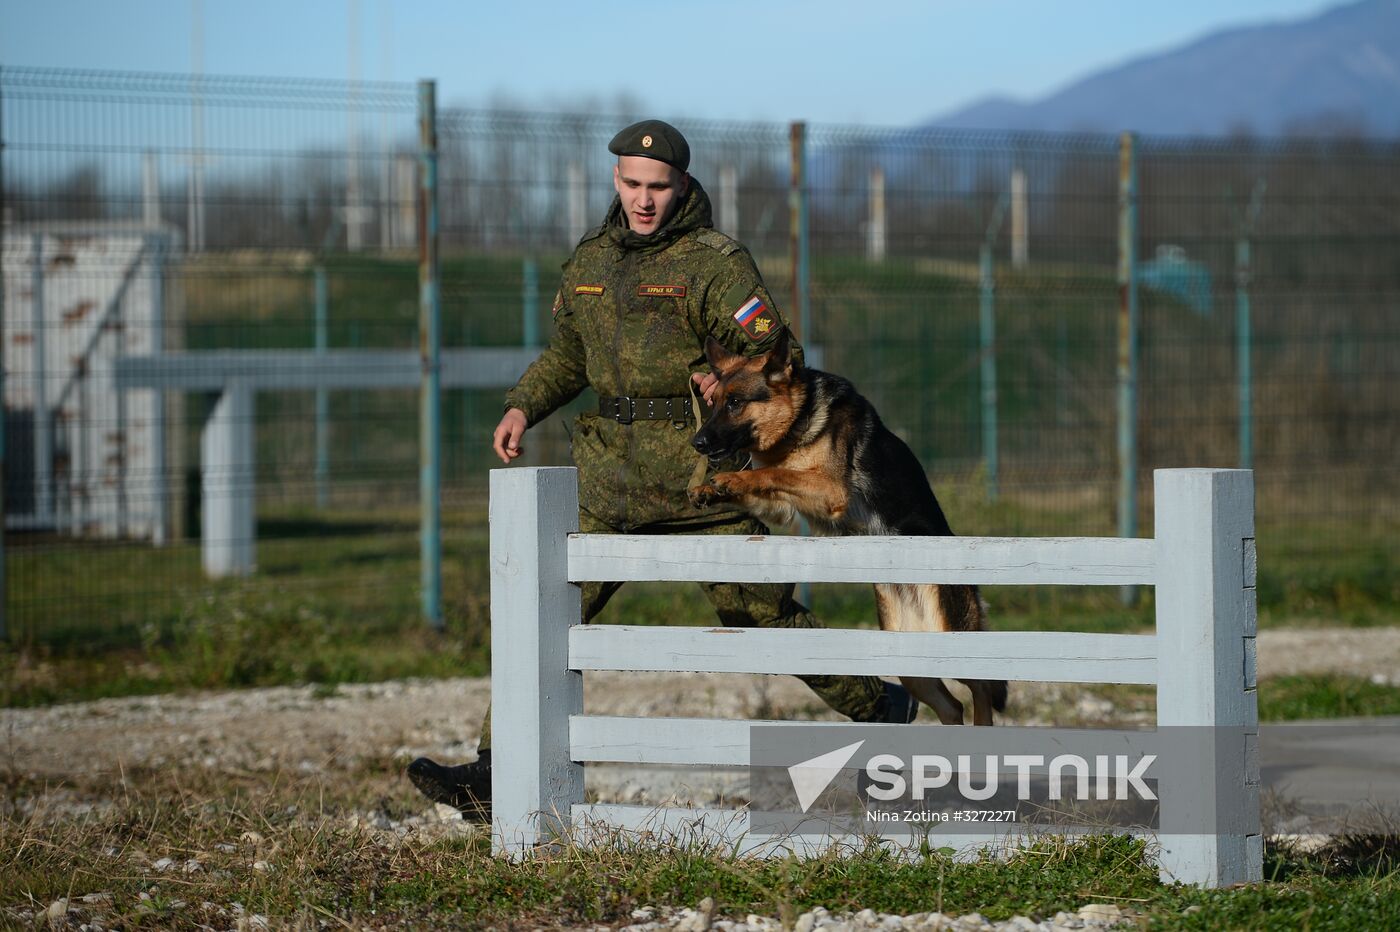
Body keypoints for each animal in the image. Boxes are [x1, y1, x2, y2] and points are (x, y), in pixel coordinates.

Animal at [686, 334, 1008, 727]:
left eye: (735, 403)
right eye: (714, 402)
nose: (697, 443)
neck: (797, 422)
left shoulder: (829, 490)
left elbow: (773, 472)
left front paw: (731, 478)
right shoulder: (784, 507)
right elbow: (767, 479)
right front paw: (710, 489)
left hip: (954, 637)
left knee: (982, 688)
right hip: (912, 663)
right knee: (952, 706)